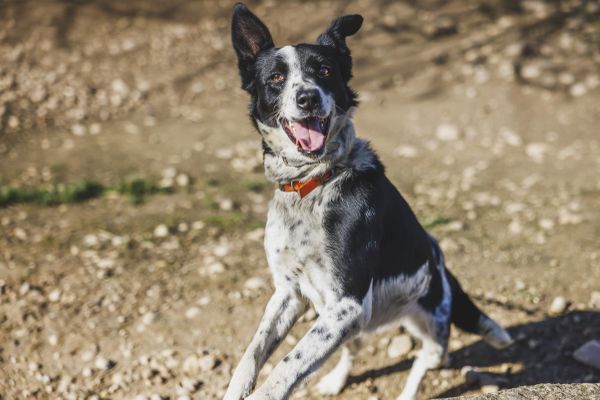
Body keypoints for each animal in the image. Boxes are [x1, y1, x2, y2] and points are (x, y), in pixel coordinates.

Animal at [224, 3, 510, 400]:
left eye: (325, 71)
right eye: (276, 78)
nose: (308, 97)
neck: (314, 183)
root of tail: (441, 264)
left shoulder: (347, 303)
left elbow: (287, 365)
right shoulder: (290, 293)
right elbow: (253, 351)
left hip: (426, 331)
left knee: (424, 362)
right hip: (349, 322)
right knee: (351, 350)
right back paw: (335, 380)